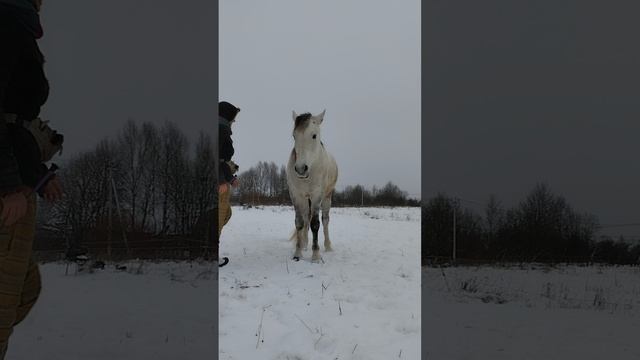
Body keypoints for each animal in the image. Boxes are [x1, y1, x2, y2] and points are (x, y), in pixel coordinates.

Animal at [286, 109, 338, 262]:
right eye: (294, 136)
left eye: (314, 135)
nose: (300, 169)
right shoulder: (296, 195)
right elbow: (299, 222)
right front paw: (297, 253)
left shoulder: (317, 196)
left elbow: (315, 224)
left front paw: (316, 255)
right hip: (305, 199)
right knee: (305, 218)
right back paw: (304, 244)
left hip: (327, 197)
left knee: (325, 221)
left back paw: (328, 246)